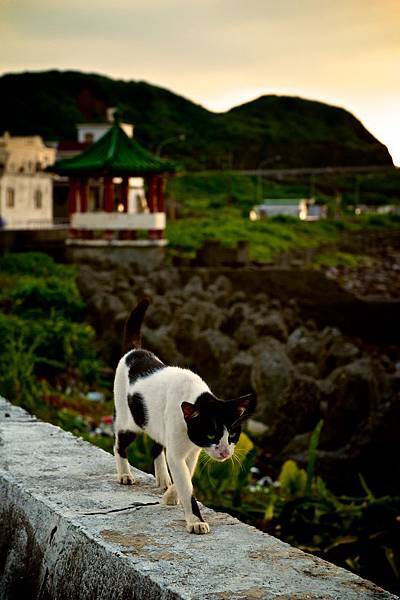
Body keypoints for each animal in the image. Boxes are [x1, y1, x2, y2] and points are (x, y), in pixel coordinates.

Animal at [113, 300, 256, 536]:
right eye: (211, 434)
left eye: (233, 435)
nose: (225, 452)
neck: (196, 395)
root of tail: (134, 351)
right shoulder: (179, 449)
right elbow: (187, 484)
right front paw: (195, 521)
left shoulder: (193, 450)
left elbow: (187, 474)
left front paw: (171, 494)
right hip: (130, 421)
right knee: (119, 444)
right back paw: (125, 475)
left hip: (156, 423)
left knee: (156, 445)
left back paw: (162, 478)